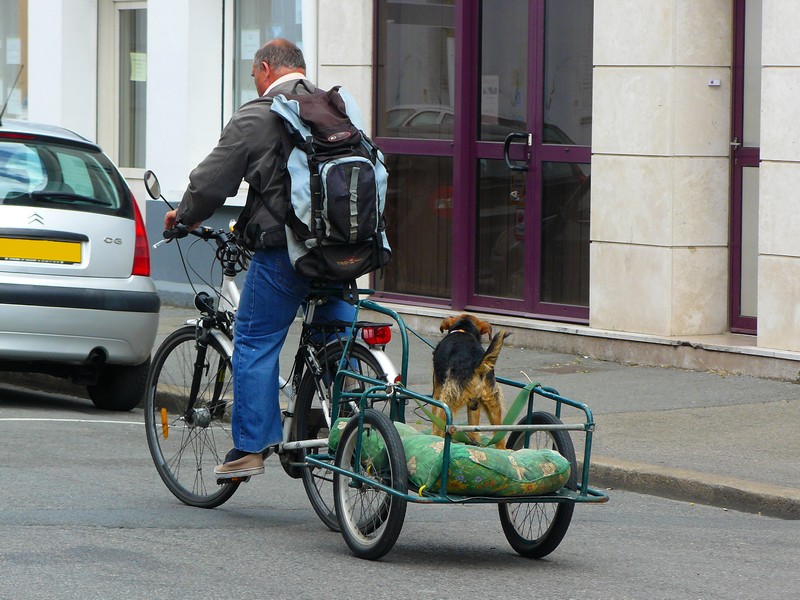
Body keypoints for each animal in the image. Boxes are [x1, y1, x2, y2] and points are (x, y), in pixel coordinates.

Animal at [434, 314, 510, 450]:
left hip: (447, 401)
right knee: (500, 441)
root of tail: (478, 364)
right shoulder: (475, 406)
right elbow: (473, 429)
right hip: (493, 406)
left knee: (439, 429)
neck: (463, 330)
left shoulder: (437, 389)